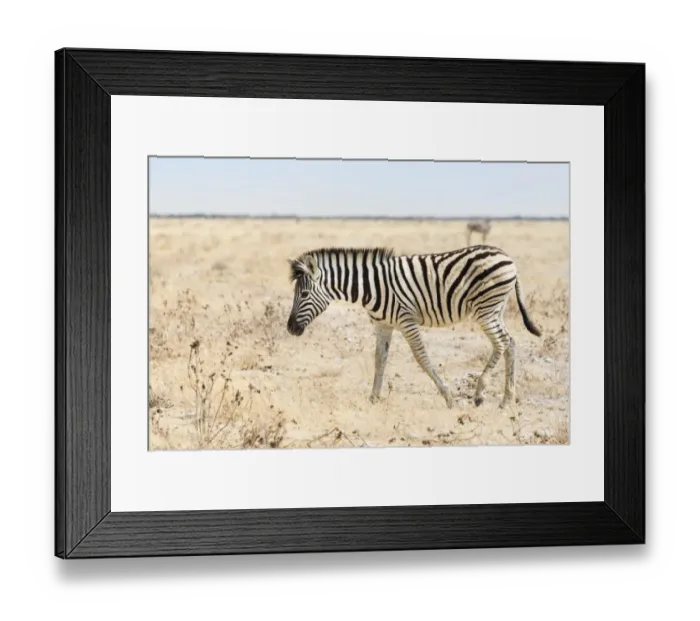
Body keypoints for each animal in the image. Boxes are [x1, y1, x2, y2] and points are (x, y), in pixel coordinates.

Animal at [286, 245, 541, 410]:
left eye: (304, 294)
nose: (290, 328)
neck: (372, 287)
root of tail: (508, 258)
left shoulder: (406, 321)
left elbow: (422, 358)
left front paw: (448, 397)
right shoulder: (383, 325)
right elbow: (379, 359)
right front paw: (373, 399)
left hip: (486, 309)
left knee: (502, 342)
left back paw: (480, 394)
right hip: (496, 309)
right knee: (511, 343)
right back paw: (506, 400)